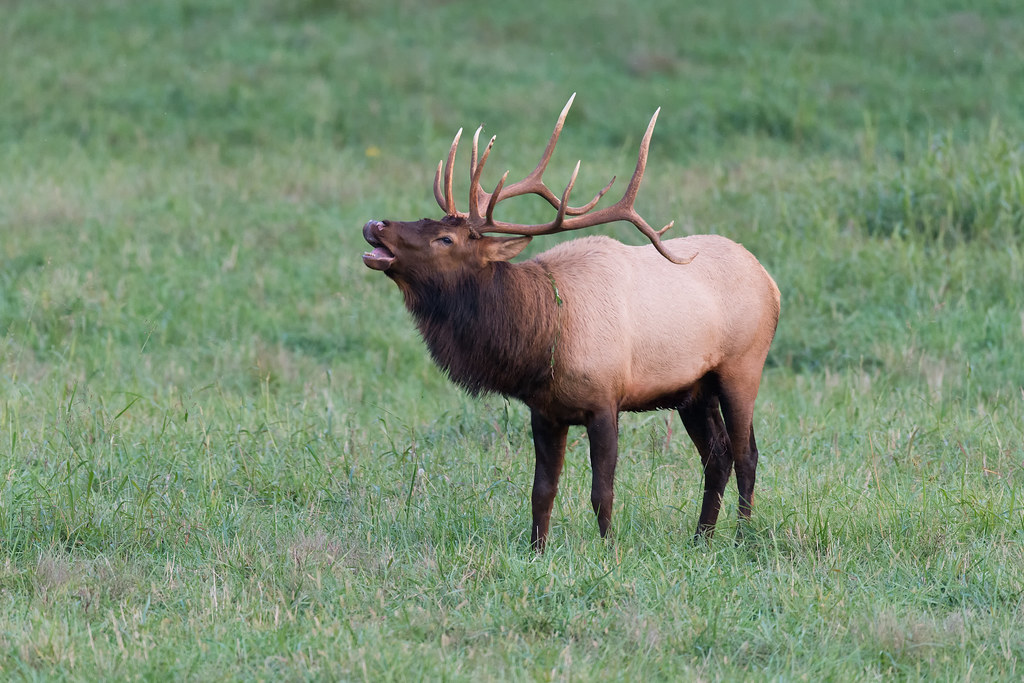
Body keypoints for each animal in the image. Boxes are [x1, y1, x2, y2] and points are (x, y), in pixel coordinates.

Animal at [361, 94, 780, 551]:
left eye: (445, 239)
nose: (375, 224)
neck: (543, 339)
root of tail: (771, 283)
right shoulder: (545, 411)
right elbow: (541, 491)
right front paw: (536, 550)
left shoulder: (605, 400)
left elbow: (602, 492)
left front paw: (608, 549)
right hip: (693, 389)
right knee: (717, 455)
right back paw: (700, 538)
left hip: (742, 367)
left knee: (746, 453)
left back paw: (741, 536)